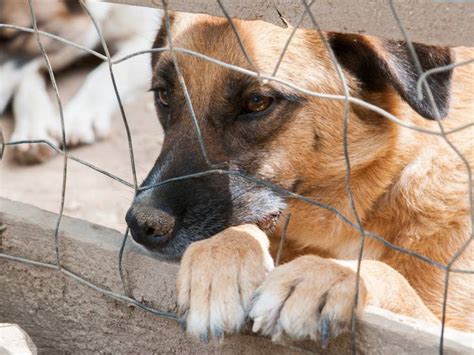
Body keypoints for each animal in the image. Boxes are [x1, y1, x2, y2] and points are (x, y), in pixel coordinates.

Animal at [124, 12, 472, 344]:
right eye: (163, 95)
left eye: (257, 102)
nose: (142, 224)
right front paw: (219, 259)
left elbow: (390, 276)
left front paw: (319, 275)